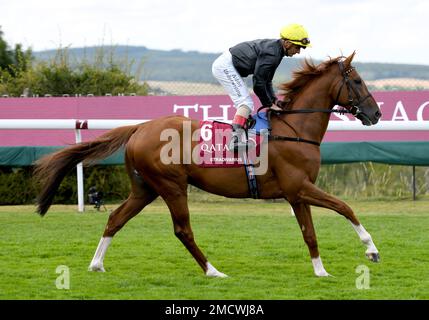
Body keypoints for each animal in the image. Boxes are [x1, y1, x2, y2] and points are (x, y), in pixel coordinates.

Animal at [34, 52, 382, 278]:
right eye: (357, 80)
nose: (376, 113)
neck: (295, 130)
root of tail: (140, 127)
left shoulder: (296, 193)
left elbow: (310, 233)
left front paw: (321, 271)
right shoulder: (299, 187)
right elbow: (345, 207)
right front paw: (371, 249)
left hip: (145, 189)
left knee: (115, 218)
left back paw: (96, 264)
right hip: (172, 186)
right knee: (182, 230)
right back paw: (213, 271)